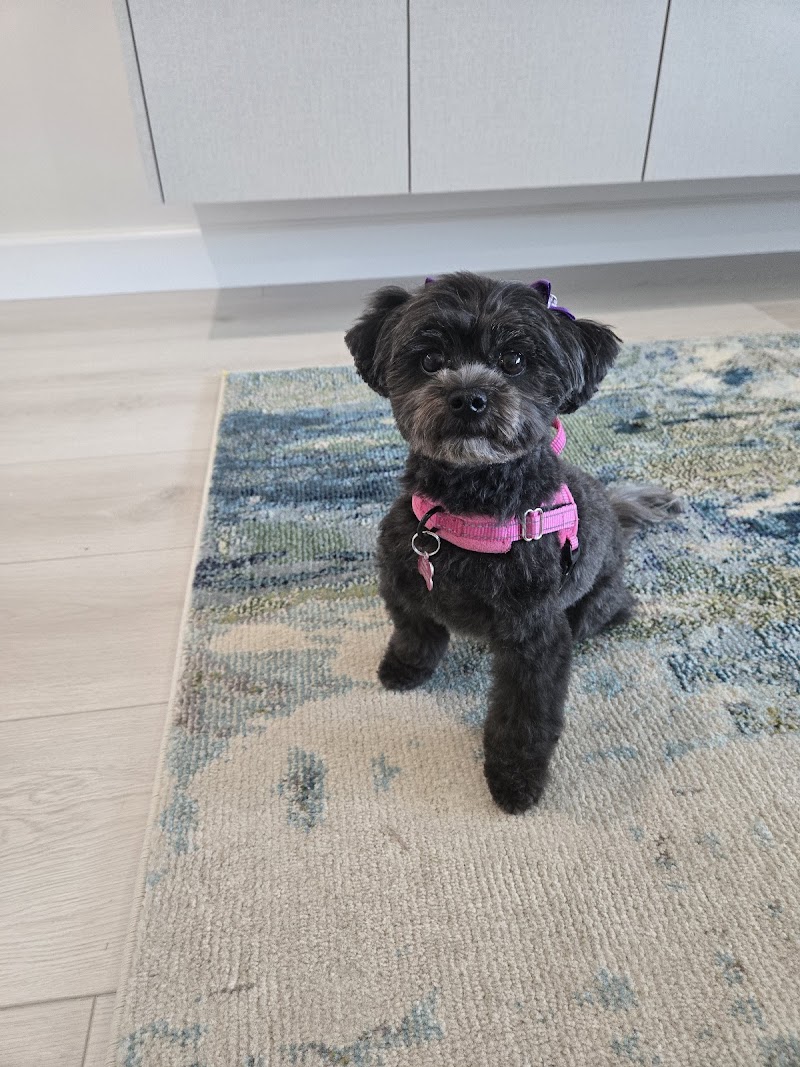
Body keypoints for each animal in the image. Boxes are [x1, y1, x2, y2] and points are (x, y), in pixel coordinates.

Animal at [345, 272, 680, 814]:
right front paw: (404, 667)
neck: (470, 510)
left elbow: (524, 717)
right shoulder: (402, 576)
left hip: (592, 606)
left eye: (516, 361)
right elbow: (416, 630)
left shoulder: (534, 639)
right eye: (430, 360)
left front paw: (514, 778)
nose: (468, 397)